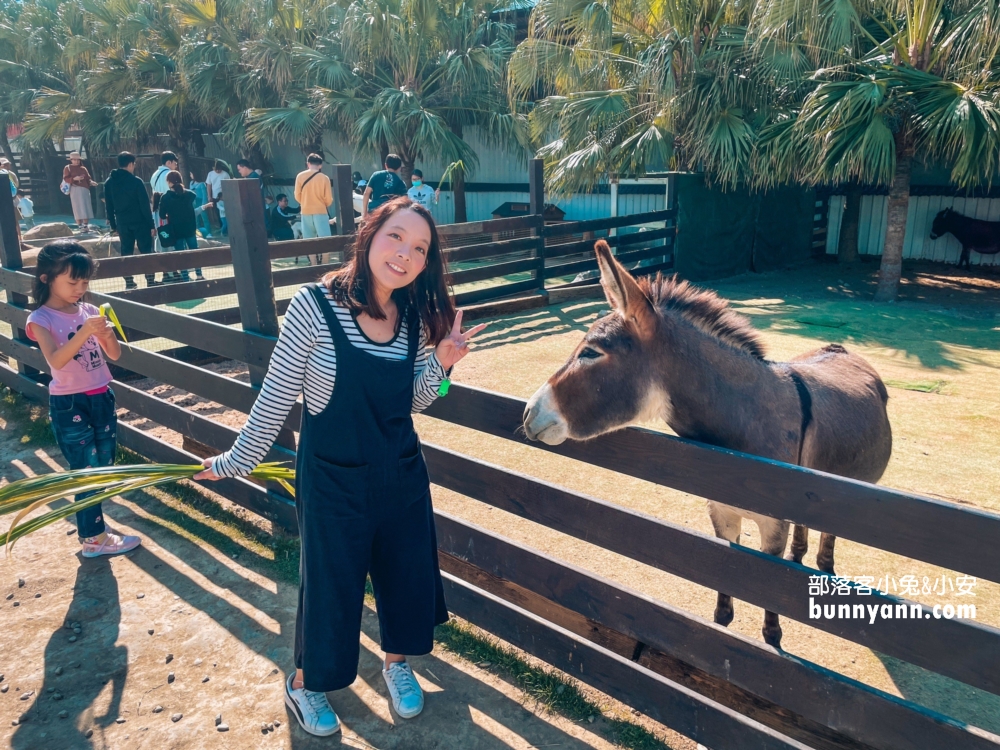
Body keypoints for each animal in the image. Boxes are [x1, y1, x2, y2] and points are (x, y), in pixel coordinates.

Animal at [524, 244, 892, 648]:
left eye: (591, 352)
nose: (528, 413)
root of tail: (841, 348)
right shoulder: (721, 512)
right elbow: (724, 582)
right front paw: (720, 626)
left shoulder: (773, 527)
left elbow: (770, 592)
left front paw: (772, 635)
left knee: (828, 533)